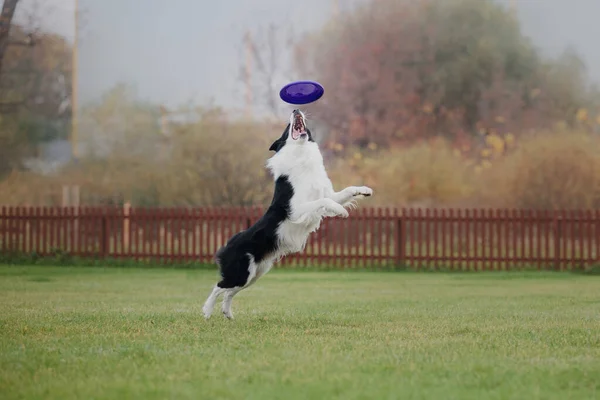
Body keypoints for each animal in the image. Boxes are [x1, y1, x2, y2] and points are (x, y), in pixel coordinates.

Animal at [202, 109, 370, 318]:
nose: (295, 110)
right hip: (241, 272)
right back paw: (207, 311)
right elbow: (323, 202)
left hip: (254, 274)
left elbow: (343, 192)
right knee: (219, 286)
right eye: (286, 128)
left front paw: (364, 190)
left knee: (228, 292)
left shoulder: (328, 193)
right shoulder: (295, 209)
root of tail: (227, 243)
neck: (301, 153)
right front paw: (341, 211)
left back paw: (228, 314)